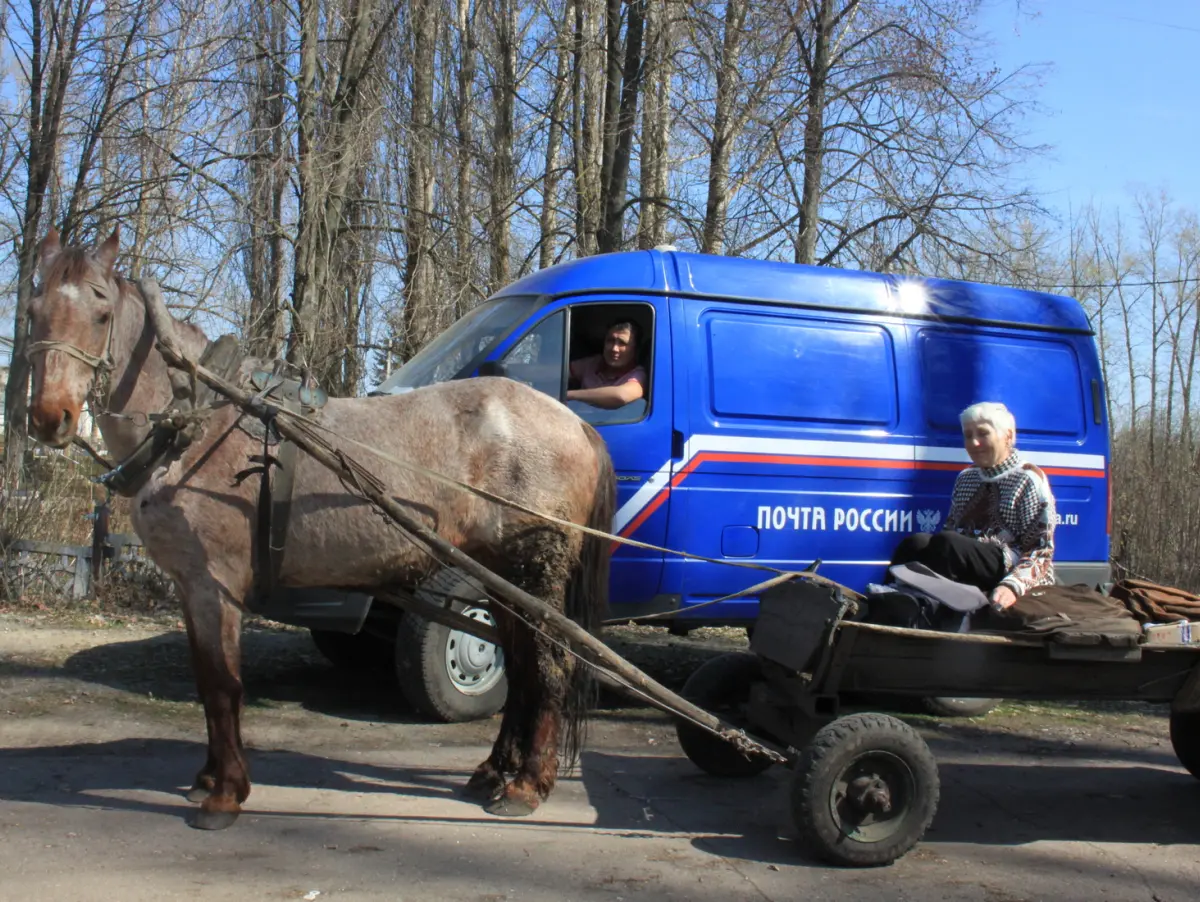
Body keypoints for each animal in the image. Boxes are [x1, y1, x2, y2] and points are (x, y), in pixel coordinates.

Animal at [25, 226, 619, 830]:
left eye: (101, 311)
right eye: (33, 307)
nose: (50, 418)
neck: (199, 422)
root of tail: (573, 423)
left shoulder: (215, 585)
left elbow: (222, 683)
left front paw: (226, 794)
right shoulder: (189, 587)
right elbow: (205, 679)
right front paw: (209, 779)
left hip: (534, 571)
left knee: (548, 666)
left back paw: (527, 785)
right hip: (502, 578)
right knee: (520, 668)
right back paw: (496, 772)